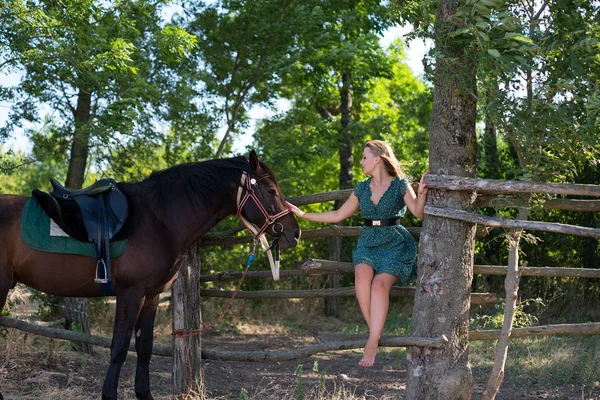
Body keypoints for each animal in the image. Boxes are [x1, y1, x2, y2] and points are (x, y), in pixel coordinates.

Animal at [0, 151, 300, 400]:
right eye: (271, 190)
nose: (294, 232)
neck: (159, 220)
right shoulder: (130, 294)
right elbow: (120, 347)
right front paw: (109, 395)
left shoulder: (152, 295)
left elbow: (145, 346)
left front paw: (144, 394)